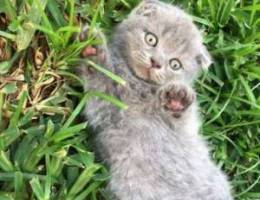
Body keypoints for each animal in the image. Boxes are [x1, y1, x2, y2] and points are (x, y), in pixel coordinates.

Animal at [80, 0, 232, 200]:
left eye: (175, 64)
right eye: (151, 39)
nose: (156, 62)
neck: (139, 85)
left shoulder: (186, 129)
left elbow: (184, 119)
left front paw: (177, 98)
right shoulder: (108, 111)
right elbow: (101, 84)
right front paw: (94, 50)